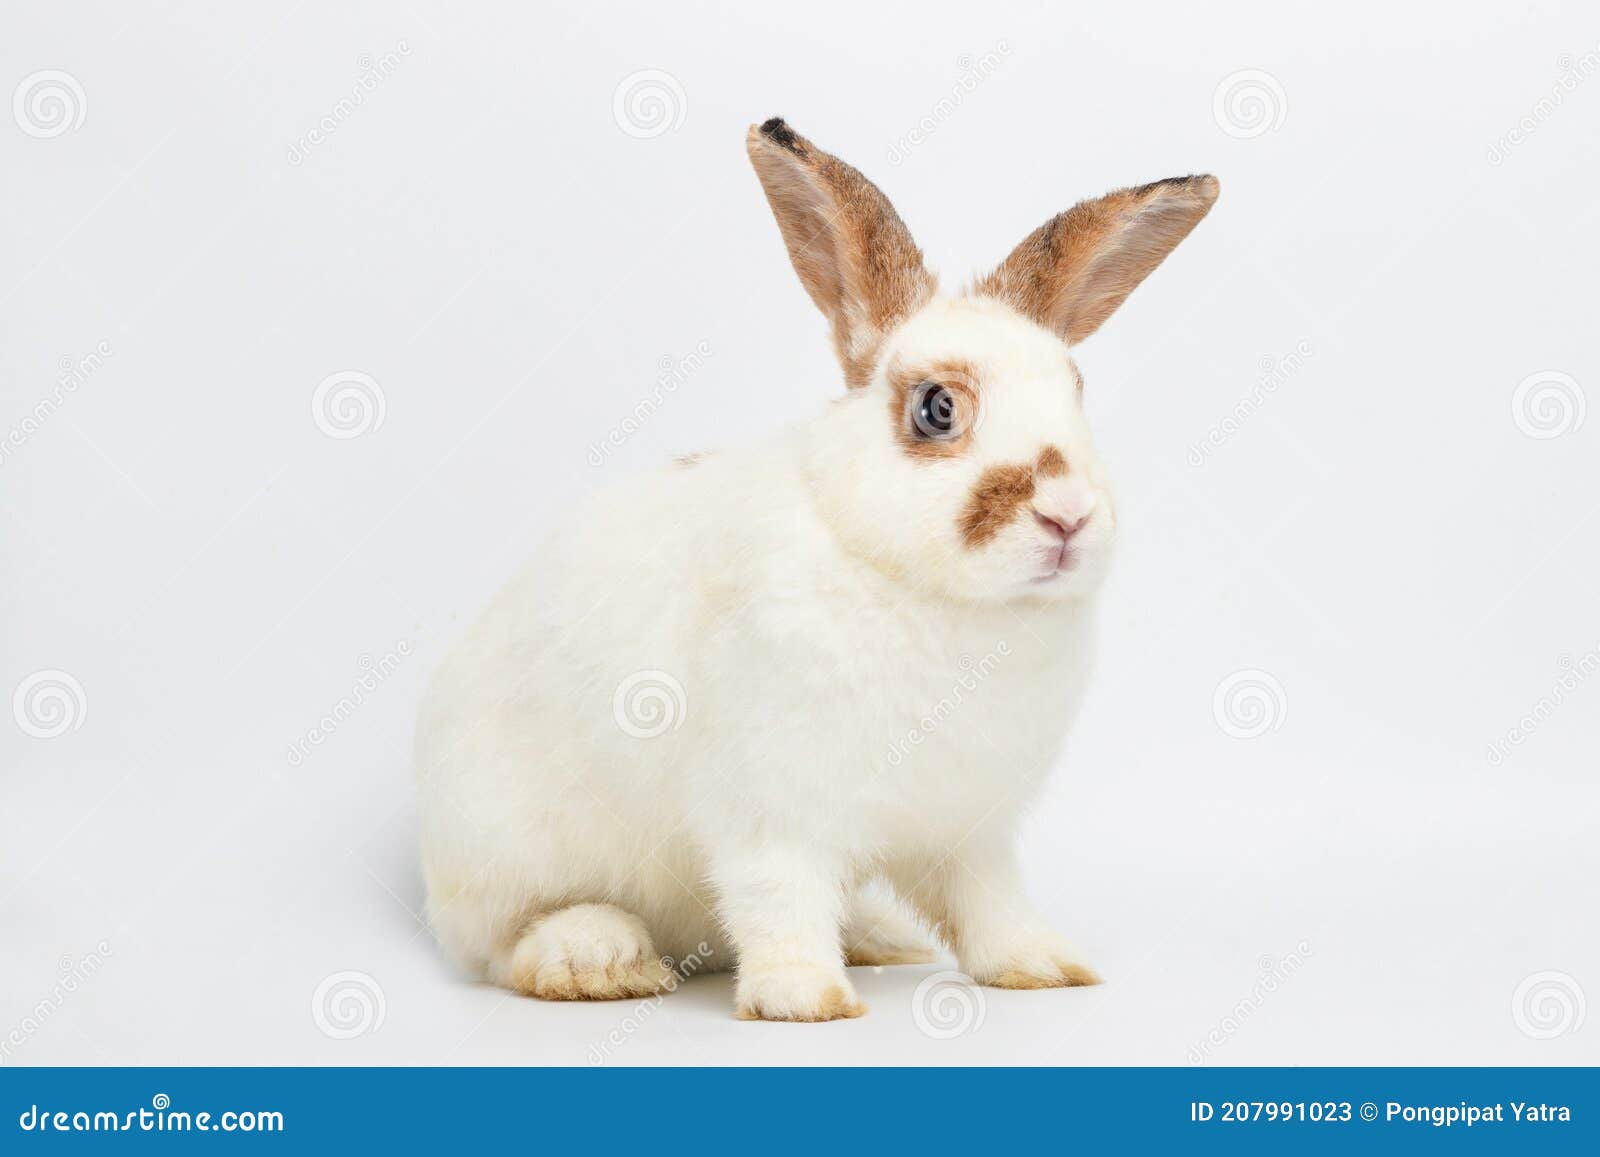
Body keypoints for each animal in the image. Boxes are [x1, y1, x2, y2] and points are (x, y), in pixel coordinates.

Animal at [415, 117, 1218, 1022]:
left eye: (1077, 391)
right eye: (938, 407)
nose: (1069, 514)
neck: (933, 595)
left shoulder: (971, 831)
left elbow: (991, 903)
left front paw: (1043, 966)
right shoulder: (772, 813)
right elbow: (780, 896)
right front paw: (805, 998)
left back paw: (880, 938)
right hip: (504, 856)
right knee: (506, 943)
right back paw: (599, 959)